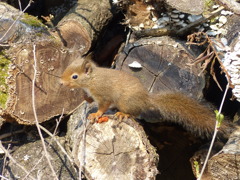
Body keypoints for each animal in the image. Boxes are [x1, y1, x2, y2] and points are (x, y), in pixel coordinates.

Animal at [60, 56, 231, 138]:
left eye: (75, 76)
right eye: (66, 68)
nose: (61, 82)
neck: (91, 80)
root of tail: (146, 99)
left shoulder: (103, 95)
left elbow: (103, 106)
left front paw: (96, 114)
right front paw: (86, 99)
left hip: (126, 102)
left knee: (135, 114)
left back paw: (123, 114)